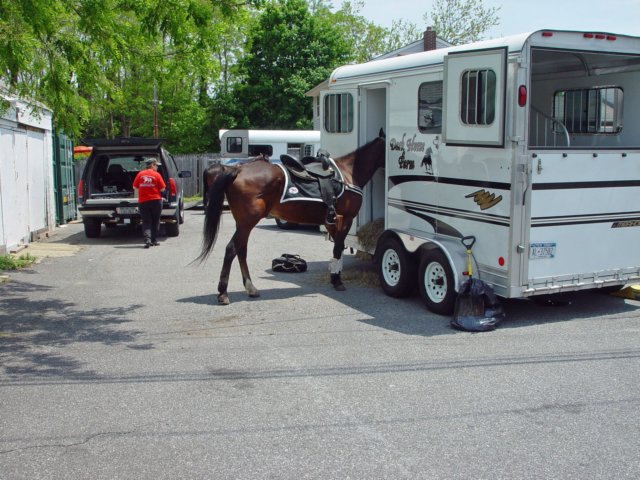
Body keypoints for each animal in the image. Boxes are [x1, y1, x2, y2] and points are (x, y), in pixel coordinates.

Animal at [195, 132, 384, 304]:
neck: (348, 172)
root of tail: (238, 169)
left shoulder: (332, 221)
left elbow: (337, 248)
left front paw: (334, 277)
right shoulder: (346, 218)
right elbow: (338, 248)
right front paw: (337, 282)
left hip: (242, 223)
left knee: (241, 250)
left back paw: (251, 288)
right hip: (248, 221)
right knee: (231, 249)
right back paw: (223, 293)